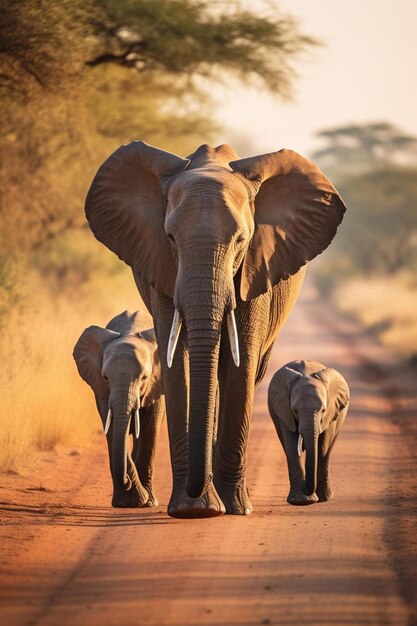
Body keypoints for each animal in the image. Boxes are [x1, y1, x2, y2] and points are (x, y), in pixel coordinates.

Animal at [74, 310, 165, 504]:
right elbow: (112, 429)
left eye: (144, 378)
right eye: (106, 377)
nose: (127, 481)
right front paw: (130, 502)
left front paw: (146, 502)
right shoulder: (101, 389)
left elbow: (149, 430)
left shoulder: (157, 383)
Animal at [266, 358, 348, 504]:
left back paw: (324, 498)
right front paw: (300, 501)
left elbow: (322, 447)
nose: (305, 485)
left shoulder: (332, 412)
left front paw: (313, 499)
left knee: (328, 450)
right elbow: (292, 446)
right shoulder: (284, 411)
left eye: (323, 410)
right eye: (295, 411)